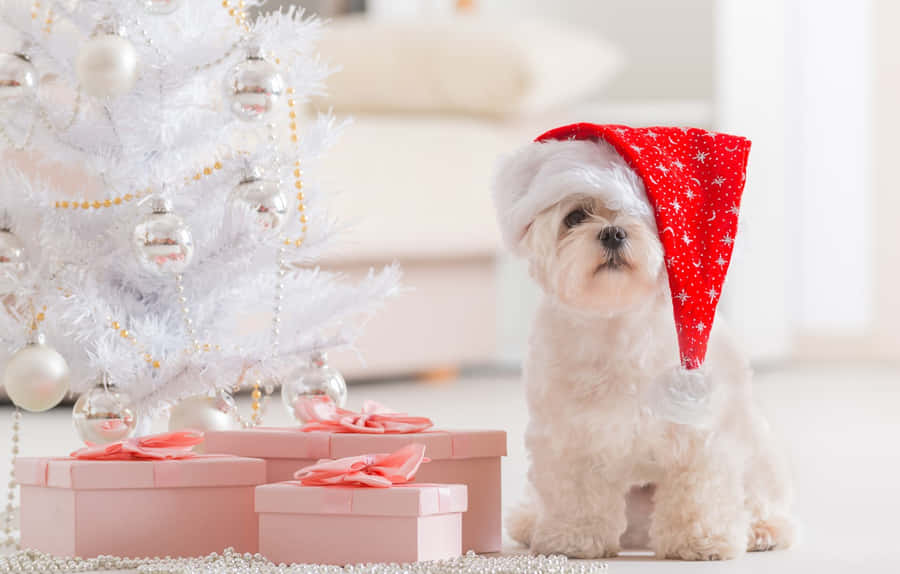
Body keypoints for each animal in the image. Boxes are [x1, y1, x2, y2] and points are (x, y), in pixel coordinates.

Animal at [496, 126, 800, 564]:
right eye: (575, 217)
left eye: (647, 214)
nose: (613, 231)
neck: (617, 318)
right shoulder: (570, 435)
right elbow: (576, 492)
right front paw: (573, 538)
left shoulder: (701, 432)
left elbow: (699, 492)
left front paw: (701, 541)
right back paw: (530, 521)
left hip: (758, 454)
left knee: (762, 497)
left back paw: (762, 529)